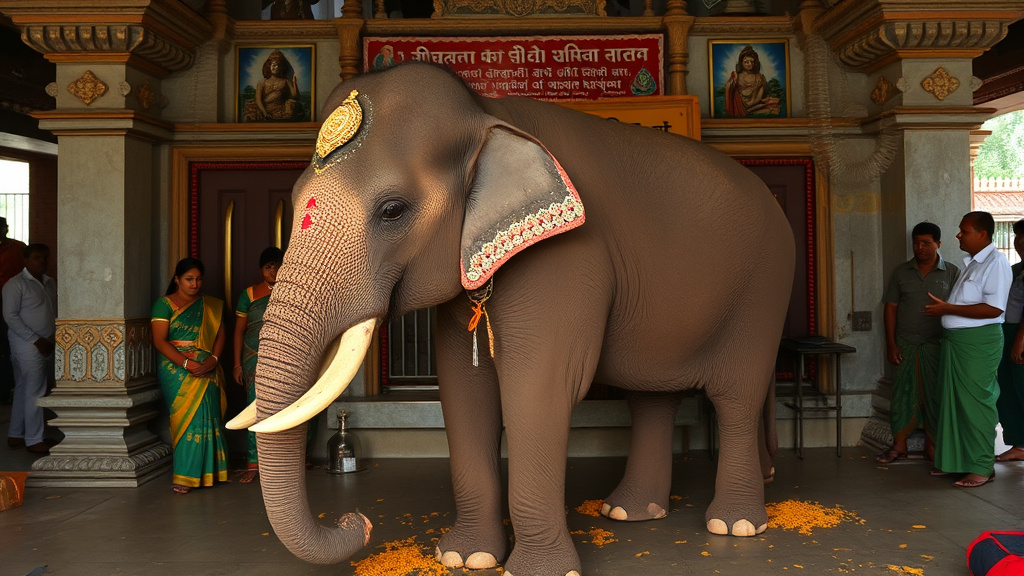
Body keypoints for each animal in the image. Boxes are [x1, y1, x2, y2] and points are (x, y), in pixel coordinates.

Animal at [227, 61, 795, 576]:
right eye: (294, 199)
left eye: (392, 210)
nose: (358, 523)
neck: (486, 112)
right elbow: (463, 389)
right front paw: (465, 558)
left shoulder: (566, 257)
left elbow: (539, 388)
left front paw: (539, 571)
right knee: (651, 396)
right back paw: (629, 512)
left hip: (764, 287)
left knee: (736, 395)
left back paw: (736, 525)